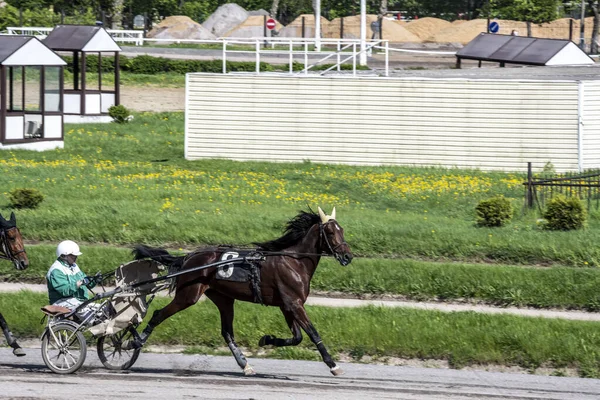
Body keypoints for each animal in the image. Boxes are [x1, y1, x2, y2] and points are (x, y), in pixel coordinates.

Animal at [131, 206, 352, 376]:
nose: (348, 256)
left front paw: (266, 339)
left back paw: (245, 365)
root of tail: (188, 257)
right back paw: (135, 343)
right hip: (188, 295)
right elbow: (313, 333)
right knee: (158, 314)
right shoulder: (293, 303)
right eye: (330, 232)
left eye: (342, 230)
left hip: (224, 299)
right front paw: (333, 365)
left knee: (227, 332)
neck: (293, 262)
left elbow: (297, 337)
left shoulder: (287, 305)